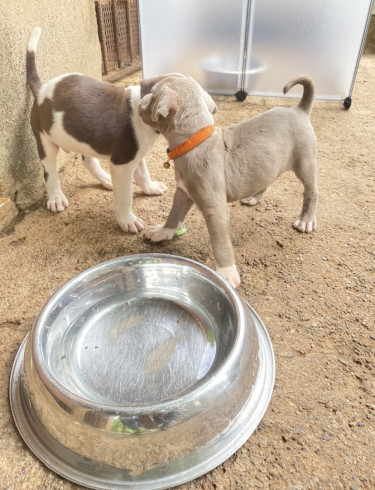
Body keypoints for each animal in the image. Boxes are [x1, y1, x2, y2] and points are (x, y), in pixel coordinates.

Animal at [26, 27, 167, 234]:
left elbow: (143, 173)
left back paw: (106, 180)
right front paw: (127, 220)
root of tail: (42, 89)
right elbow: (125, 196)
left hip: (84, 138)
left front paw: (151, 188)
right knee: (50, 171)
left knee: (88, 161)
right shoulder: (122, 163)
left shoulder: (135, 154)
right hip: (45, 141)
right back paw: (56, 198)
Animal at [140, 73, 318, 288]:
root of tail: (299, 109)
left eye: (152, 93)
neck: (194, 140)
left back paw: (306, 220)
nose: (140, 100)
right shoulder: (182, 193)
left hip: (305, 163)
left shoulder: (215, 210)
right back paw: (253, 198)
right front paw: (163, 232)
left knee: (311, 192)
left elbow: (221, 243)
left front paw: (226, 272)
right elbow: (174, 215)